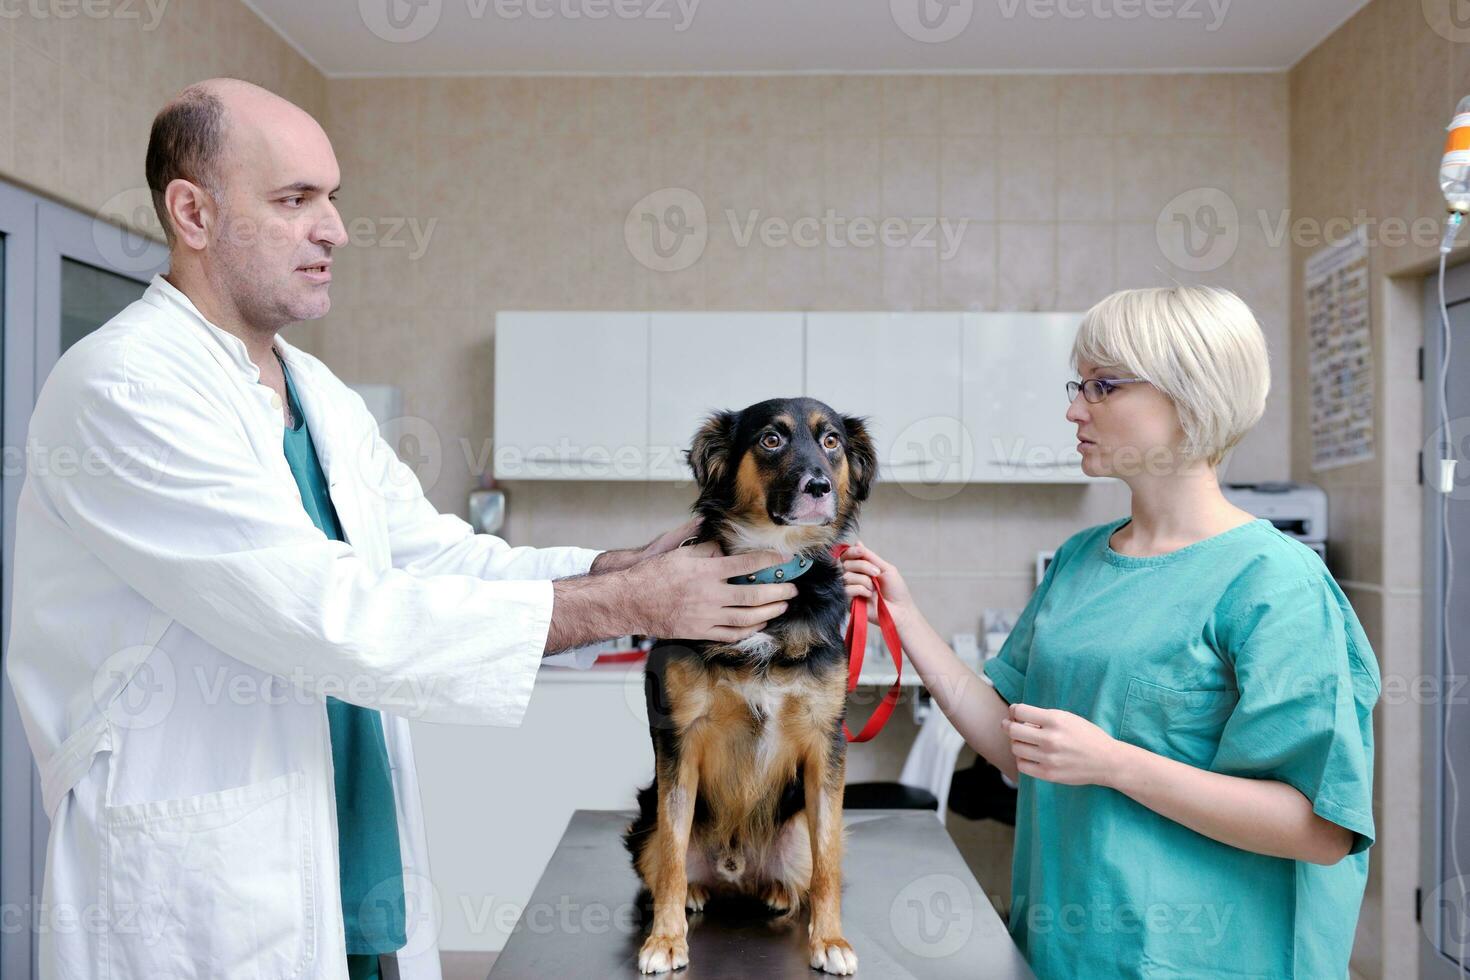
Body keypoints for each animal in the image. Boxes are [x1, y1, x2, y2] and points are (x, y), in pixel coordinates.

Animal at [626, 396, 876, 975]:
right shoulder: (679, 738)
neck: (770, 568)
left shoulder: (826, 741)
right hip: (645, 820)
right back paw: (694, 894)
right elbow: (672, 856)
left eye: (831, 441)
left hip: (794, 830)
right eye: (771, 439)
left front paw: (830, 939)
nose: (818, 486)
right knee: (668, 861)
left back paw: (779, 891)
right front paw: (665, 940)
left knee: (805, 867)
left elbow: (828, 862)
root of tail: (736, 868)